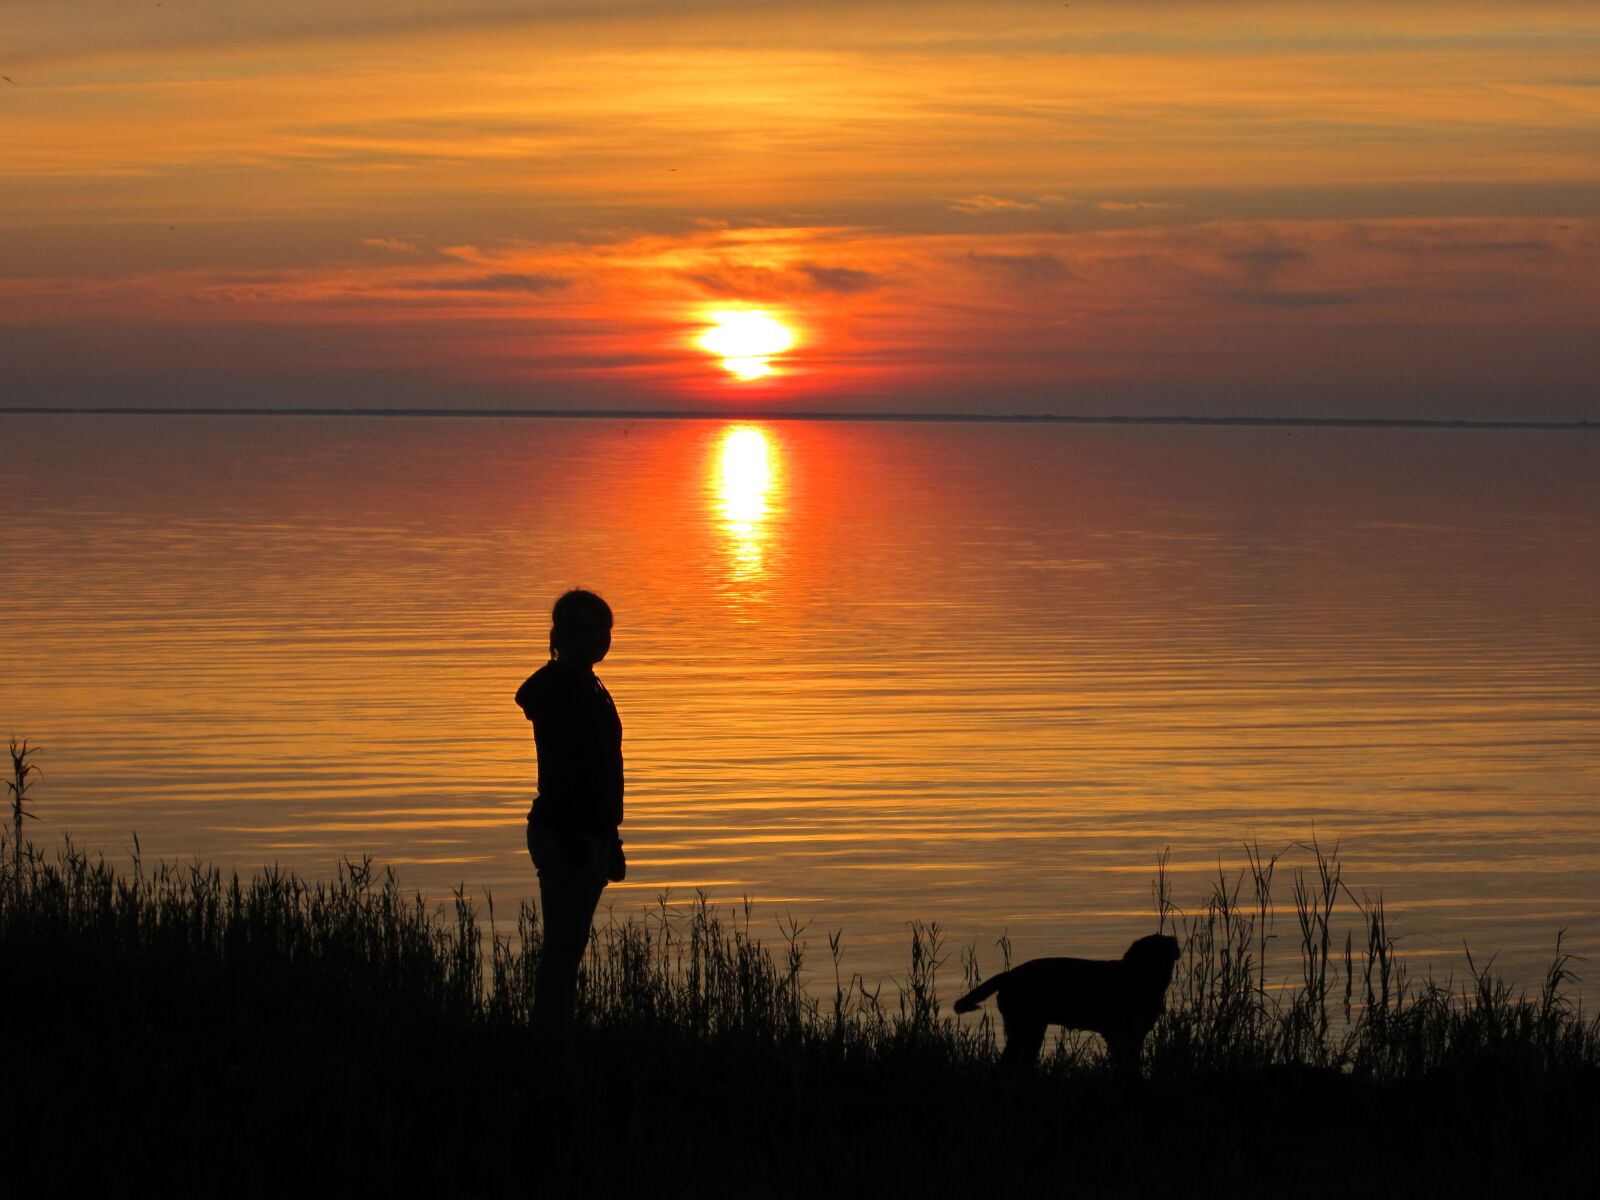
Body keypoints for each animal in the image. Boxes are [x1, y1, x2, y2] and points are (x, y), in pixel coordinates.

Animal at [947, 934, 1190, 1075]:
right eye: (1151, 953)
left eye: (1166, 952)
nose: (1163, 966)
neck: (1139, 980)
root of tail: (1008, 975)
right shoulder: (1116, 1033)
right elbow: (1124, 1062)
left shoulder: (1136, 1034)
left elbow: (1132, 1062)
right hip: (1022, 1028)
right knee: (1006, 1063)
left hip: (1034, 1030)